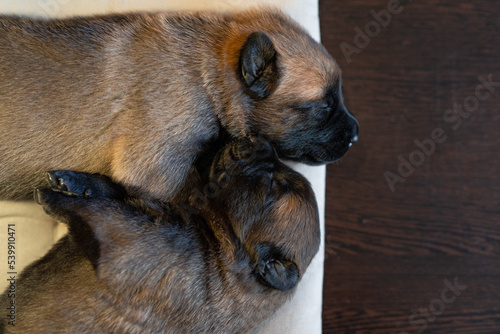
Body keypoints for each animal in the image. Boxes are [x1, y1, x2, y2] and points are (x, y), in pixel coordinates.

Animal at [0, 137, 320, 332]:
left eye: (274, 186)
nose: (259, 140)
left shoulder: (123, 236)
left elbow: (96, 211)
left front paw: (55, 197)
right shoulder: (150, 208)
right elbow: (114, 190)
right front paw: (73, 181)